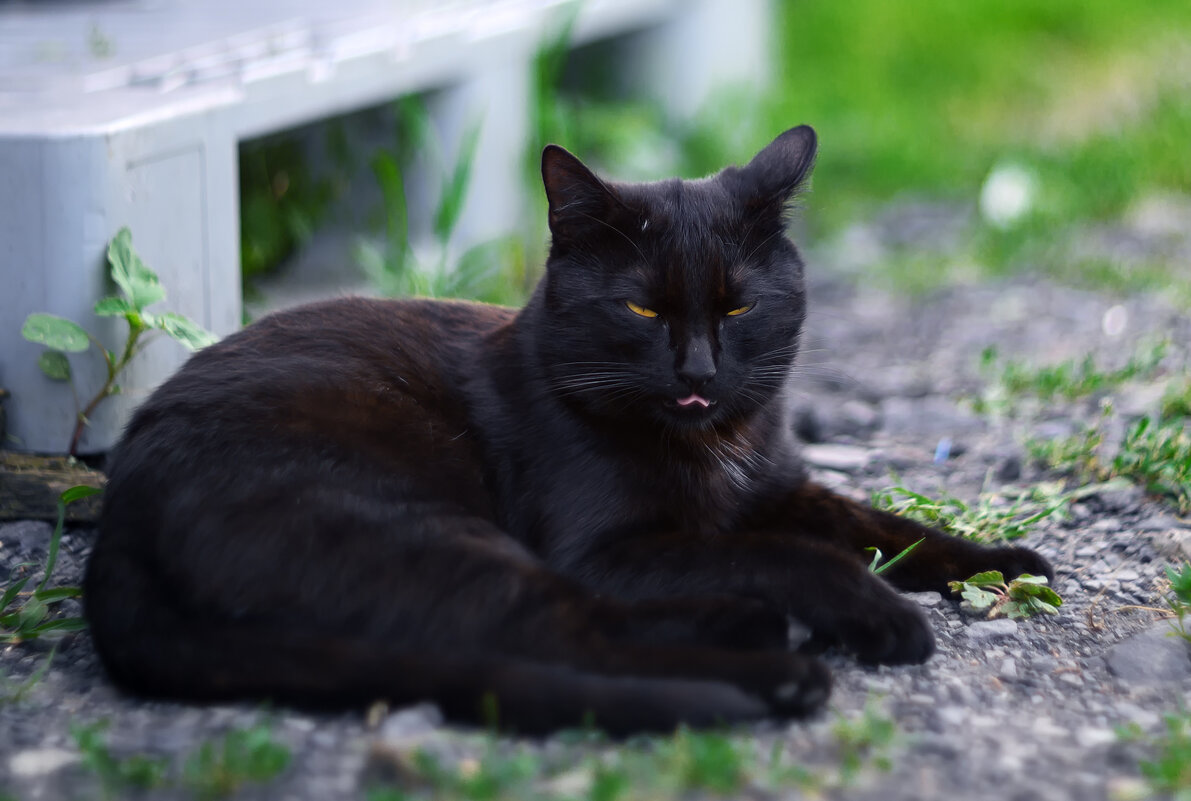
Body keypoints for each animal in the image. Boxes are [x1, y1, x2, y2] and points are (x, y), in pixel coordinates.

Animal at [83, 127, 1052, 733]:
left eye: (737, 306)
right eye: (640, 307)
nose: (697, 371)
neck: (716, 447)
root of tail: (117, 516)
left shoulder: (779, 486)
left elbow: (882, 524)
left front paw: (1006, 564)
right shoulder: (604, 547)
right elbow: (788, 552)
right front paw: (878, 612)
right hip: (409, 521)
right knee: (544, 629)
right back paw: (777, 666)